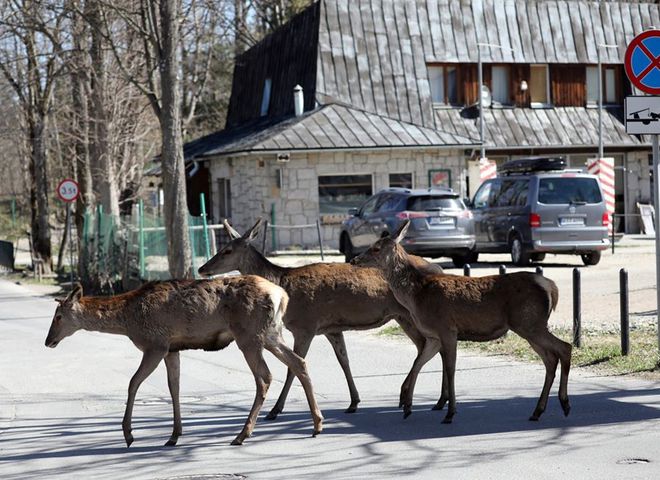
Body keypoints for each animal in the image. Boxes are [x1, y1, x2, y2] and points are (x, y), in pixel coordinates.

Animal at [43, 276, 322, 448]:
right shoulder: (172, 349)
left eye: (58, 316)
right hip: (271, 333)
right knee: (299, 362)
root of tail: (281, 295)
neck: (128, 320)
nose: (48, 341)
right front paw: (174, 436)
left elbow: (133, 383)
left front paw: (129, 434)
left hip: (249, 335)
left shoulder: (156, 344)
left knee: (264, 376)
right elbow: (174, 387)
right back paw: (317, 425)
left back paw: (242, 435)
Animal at [196, 218, 444, 420]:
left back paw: (421, 398)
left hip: (410, 315)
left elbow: (293, 367)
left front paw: (276, 410)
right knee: (428, 347)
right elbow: (344, 361)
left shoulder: (305, 325)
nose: (202, 268)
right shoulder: (331, 328)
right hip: (404, 317)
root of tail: (439, 267)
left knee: (431, 346)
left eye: (227, 250)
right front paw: (354, 402)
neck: (284, 284)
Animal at [350, 220, 572, 424]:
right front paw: (406, 404)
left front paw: (450, 412)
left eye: (376, 247)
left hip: (529, 323)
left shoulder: (447, 328)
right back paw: (538, 411)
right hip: (529, 326)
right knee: (550, 359)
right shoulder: (433, 336)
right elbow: (417, 362)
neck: (417, 296)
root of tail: (551, 287)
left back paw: (564, 404)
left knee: (564, 348)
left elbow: (449, 369)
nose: (353, 260)